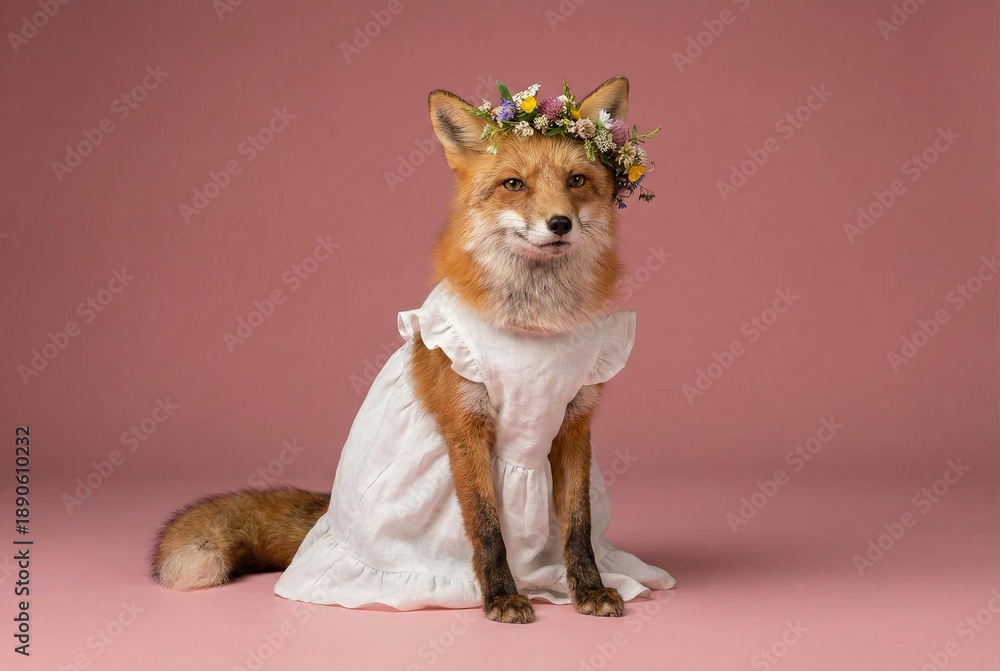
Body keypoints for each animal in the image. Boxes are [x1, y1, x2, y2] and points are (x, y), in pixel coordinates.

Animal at [151, 76, 674, 624]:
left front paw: (588, 589)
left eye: (576, 180)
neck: (533, 323)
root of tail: (326, 518)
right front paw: (501, 596)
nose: (559, 224)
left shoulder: (573, 425)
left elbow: (578, 527)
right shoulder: (466, 425)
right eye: (514, 185)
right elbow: (487, 526)